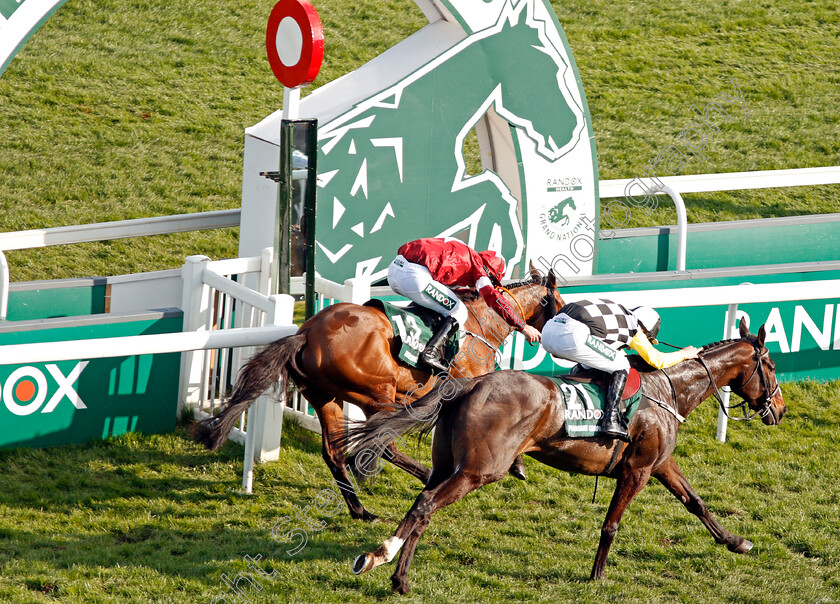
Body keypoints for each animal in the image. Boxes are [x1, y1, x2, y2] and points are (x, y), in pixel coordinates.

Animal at [193, 268, 560, 520]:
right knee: (382, 443)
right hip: (374, 392)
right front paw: (517, 464)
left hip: (326, 398)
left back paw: (361, 510)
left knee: (335, 453)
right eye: (559, 303)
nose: (548, 339)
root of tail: (307, 333)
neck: (480, 323)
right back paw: (422, 476)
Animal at [344, 318, 784, 592]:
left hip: (445, 466)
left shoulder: (659, 463)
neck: (669, 390)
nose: (778, 410)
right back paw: (385, 562)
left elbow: (696, 502)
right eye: (772, 365)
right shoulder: (637, 470)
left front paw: (736, 541)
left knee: (422, 505)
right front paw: (598, 576)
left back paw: (392, 571)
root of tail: (468, 385)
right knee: (426, 507)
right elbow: (611, 525)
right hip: (477, 470)